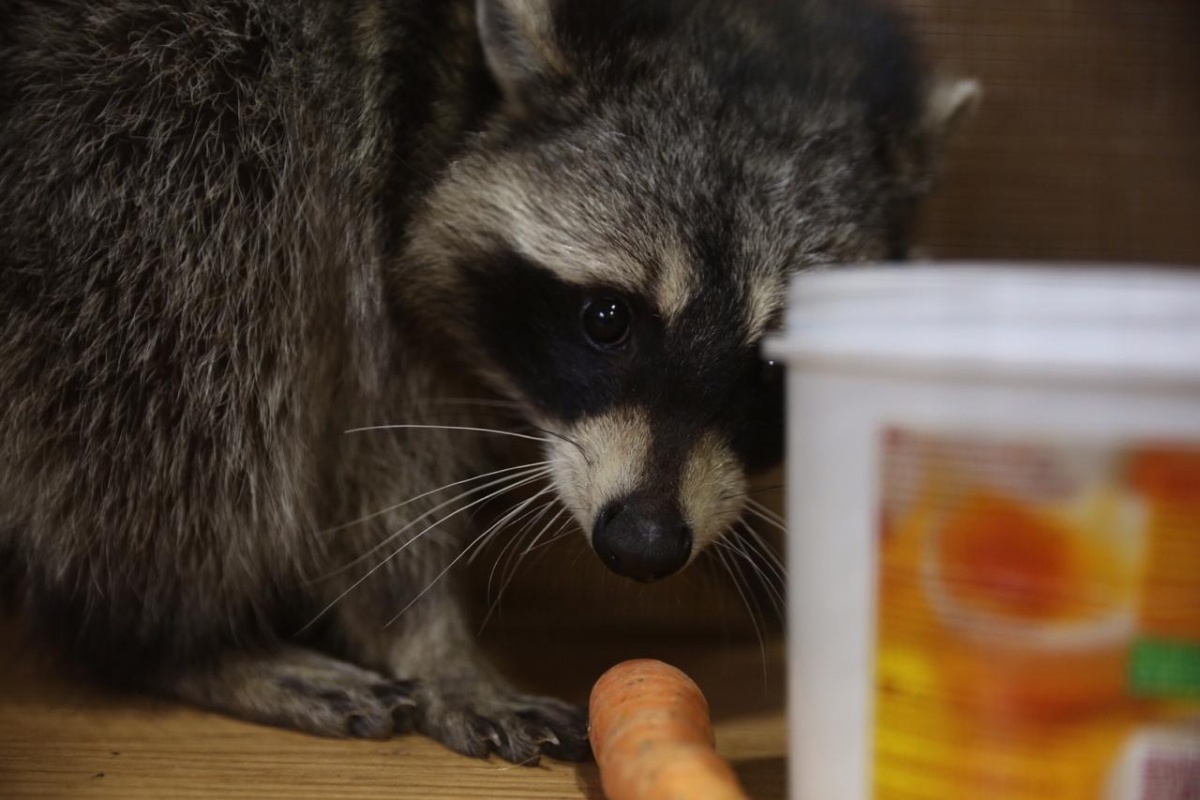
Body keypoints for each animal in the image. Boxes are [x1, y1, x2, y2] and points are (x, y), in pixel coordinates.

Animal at [0, 0, 974, 762]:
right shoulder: (358, 158)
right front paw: (427, 638)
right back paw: (171, 636)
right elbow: (373, 452)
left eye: (773, 365)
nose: (644, 544)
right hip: (151, 146)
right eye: (606, 319)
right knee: (189, 361)